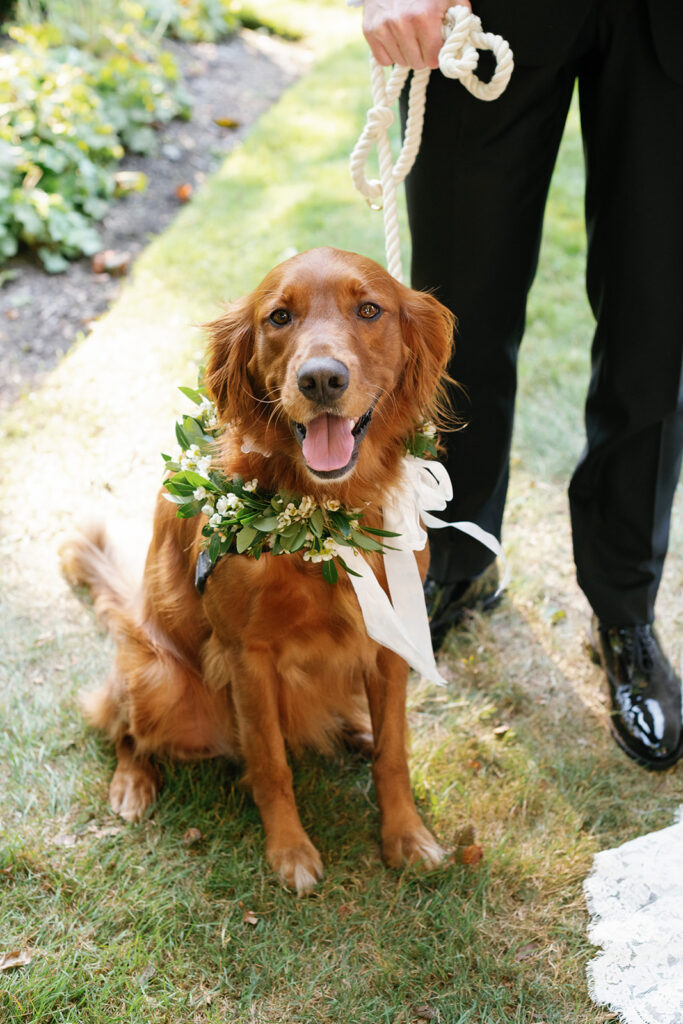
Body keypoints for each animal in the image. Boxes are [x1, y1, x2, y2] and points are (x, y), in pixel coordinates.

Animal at [62, 243, 454, 892]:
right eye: (279, 317)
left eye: (369, 309)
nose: (321, 379)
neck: (326, 519)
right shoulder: (248, 655)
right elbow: (270, 762)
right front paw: (289, 851)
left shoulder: (393, 636)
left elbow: (394, 752)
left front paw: (405, 834)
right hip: (162, 681)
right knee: (123, 727)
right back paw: (132, 783)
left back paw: (356, 729)